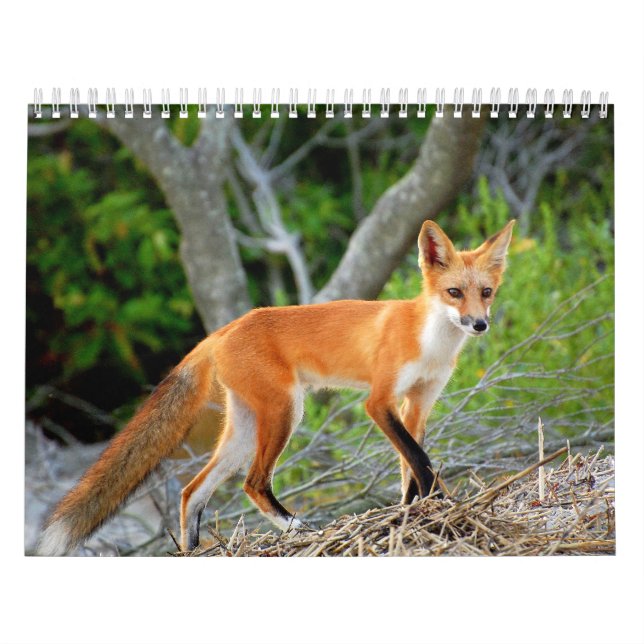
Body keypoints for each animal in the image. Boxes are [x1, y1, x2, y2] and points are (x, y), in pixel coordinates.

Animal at [37, 219, 514, 555]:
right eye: (454, 293)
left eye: (487, 292)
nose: (479, 324)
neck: (429, 341)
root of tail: (224, 329)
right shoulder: (379, 402)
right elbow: (419, 458)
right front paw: (433, 508)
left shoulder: (419, 403)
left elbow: (411, 465)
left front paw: (418, 512)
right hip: (286, 413)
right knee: (253, 484)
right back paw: (298, 529)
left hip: (245, 431)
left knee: (193, 492)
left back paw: (193, 551)